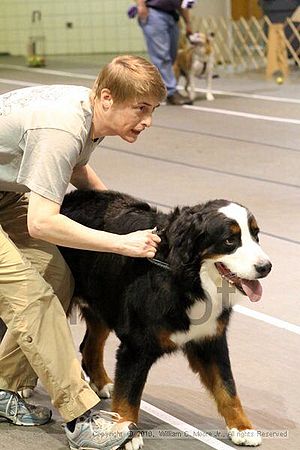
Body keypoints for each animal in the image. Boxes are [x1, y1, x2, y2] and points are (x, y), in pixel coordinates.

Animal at [59, 189, 272, 446]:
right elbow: (129, 395)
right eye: (230, 240)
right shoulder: (137, 347)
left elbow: (227, 388)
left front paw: (242, 428)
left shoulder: (210, 340)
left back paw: (102, 383)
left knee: (90, 347)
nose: (266, 267)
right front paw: (126, 432)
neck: (189, 279)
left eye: (256, 235)